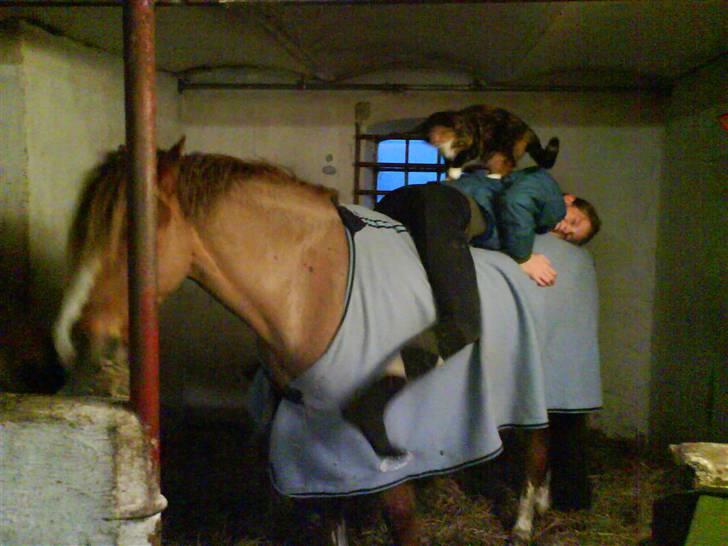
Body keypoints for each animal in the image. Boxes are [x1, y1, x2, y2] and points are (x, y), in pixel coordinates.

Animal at [53, 138, 587, 545]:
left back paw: (524, 522)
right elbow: (333, 522)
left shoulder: (384, 467)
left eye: (134, 232)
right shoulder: (322, 461)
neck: (313, 286)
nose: (73, 337)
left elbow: (402, 522)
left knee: (538, 446)